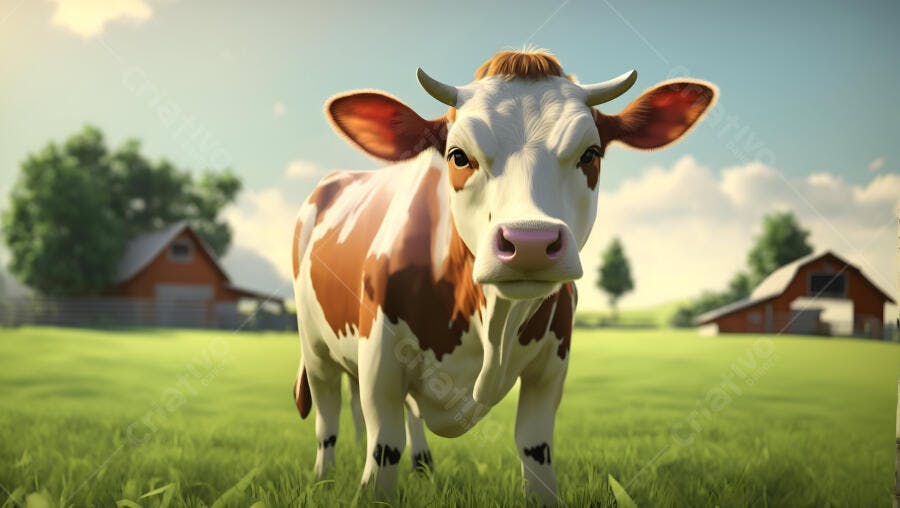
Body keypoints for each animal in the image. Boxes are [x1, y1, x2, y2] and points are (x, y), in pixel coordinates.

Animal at [291, 49, 716, 505]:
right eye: (458, 156)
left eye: (590, 154)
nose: (530, 241)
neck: (492, 320)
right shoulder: (379, 362)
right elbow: (383, 449)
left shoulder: (551, 369)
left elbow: (535, 450)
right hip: (315, 350)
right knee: (328, 419)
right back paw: (323, 480)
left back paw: (424, 468)